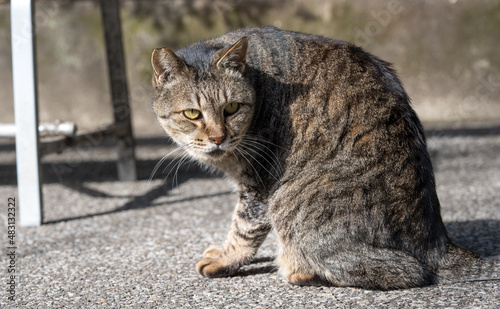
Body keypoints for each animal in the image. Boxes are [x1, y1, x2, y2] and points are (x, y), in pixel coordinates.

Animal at [150, 26, 498, 288]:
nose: (218, 138)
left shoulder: (258, 186)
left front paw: (225, 259)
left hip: (287, 201)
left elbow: (243, 228)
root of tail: (438, 244)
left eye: (232, 108)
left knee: (405, 271)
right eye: (192, 114)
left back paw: (297, 270)